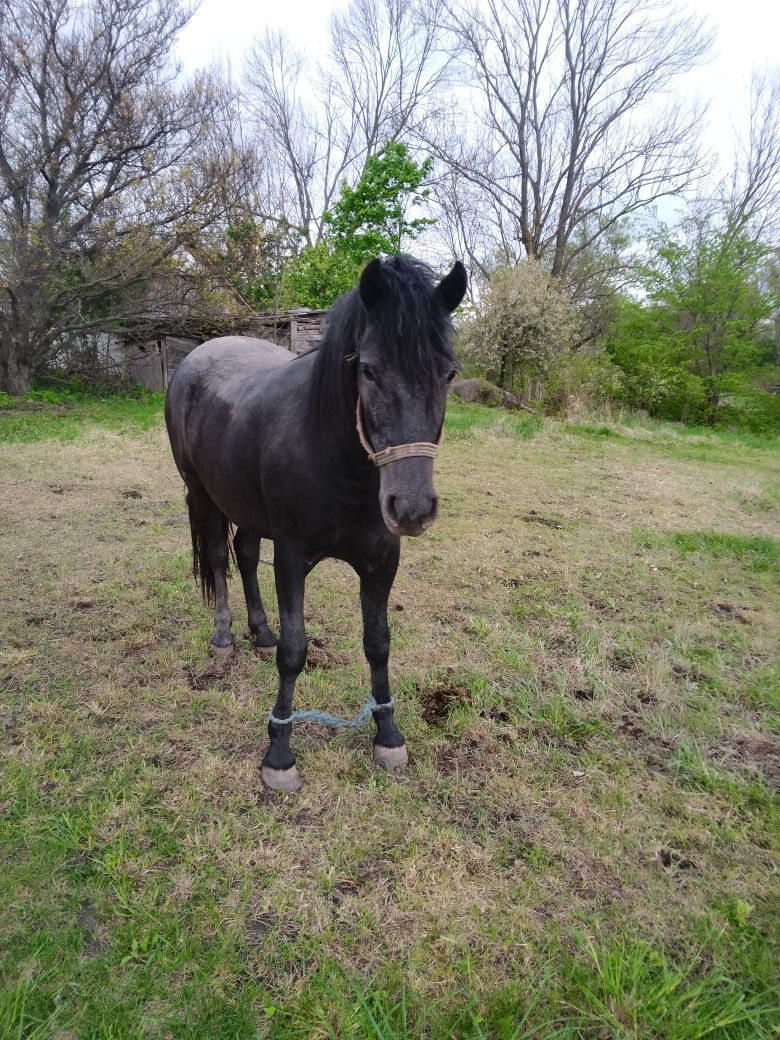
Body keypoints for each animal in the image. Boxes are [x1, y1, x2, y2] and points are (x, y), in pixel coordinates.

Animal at [165, 255, 467, 790]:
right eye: (367, 370)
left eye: (448, 373)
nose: (411, 507)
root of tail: (197, 356)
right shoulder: (291, 557)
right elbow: (294, 650)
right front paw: (279, 753)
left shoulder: (381, 563)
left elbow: (378, 645)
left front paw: (388, 734)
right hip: (202, 494)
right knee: (220, 559)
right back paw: (224, 638)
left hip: (247, 507)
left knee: (245, 555)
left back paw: (259, 632)